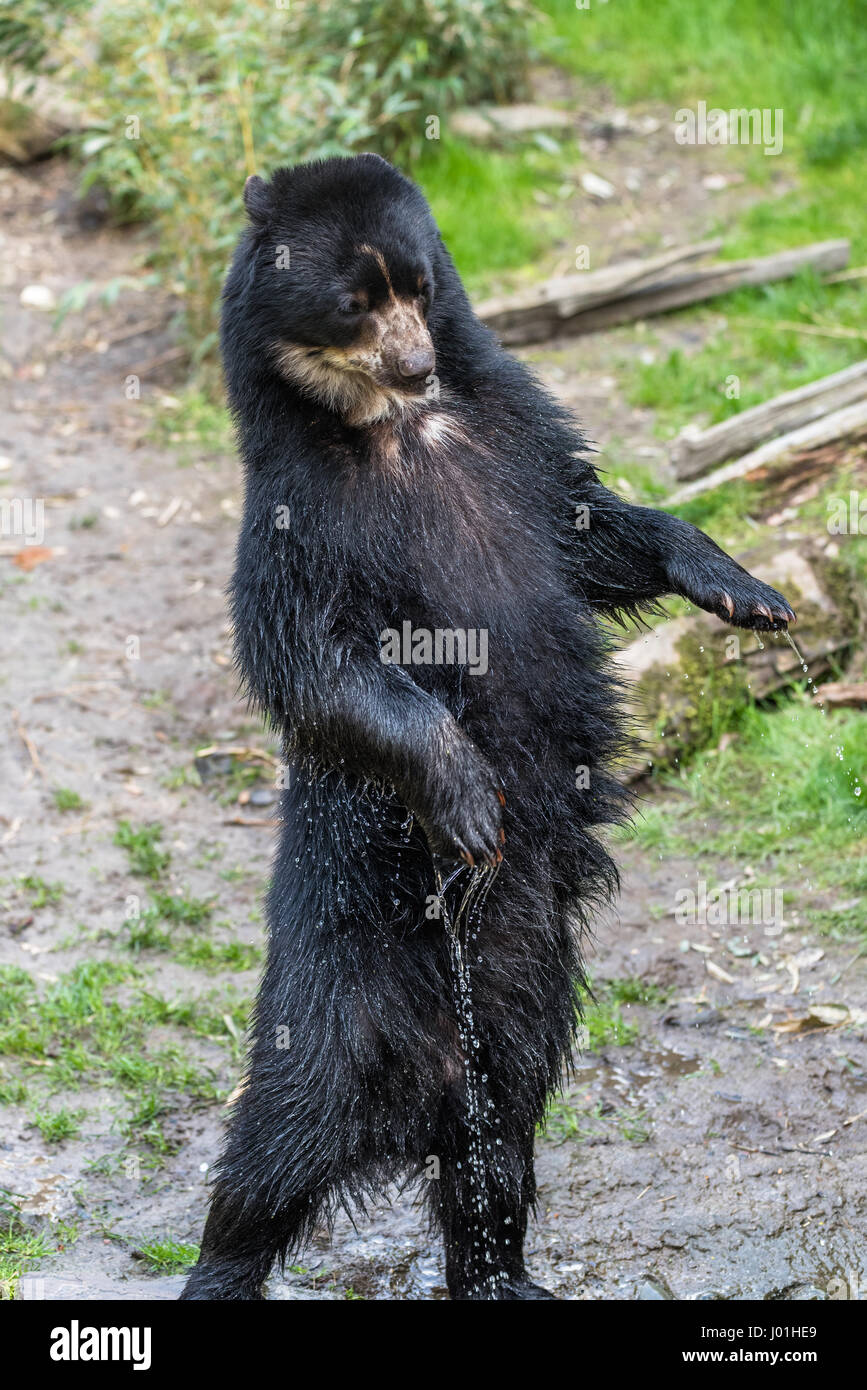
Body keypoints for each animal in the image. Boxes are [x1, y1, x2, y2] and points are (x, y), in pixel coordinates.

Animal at [180, 154, 794, 1301]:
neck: (396, 428)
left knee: (496, 1151)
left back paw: (504, 1273)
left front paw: (746, 591)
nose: (418, 363)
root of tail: (413, 1093)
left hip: (522, 1012)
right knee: (271, 1152)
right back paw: (219, 1271)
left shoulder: (514, 435)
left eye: (421, 288)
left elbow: (591, 527)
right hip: (328, 1001)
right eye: (354, 303)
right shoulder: (297, 520)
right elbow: (319, 661)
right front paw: (467, 802)